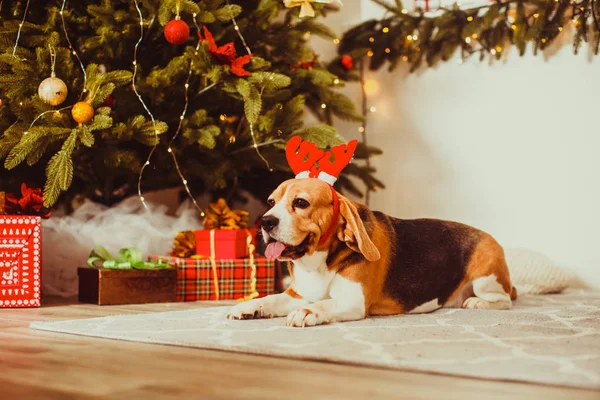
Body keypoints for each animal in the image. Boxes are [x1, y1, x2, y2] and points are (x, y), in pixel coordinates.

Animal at [227, 177, 516, 326]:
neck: (319, 263)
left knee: (505, 301)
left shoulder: (353, 301)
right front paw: (250, 305)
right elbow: (272, 299)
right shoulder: (298, 294)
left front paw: (307, 313)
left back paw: (477, 302)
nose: (265, 221)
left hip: (486, 279)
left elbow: (324, 303)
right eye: (271, 202)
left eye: (300, 202)